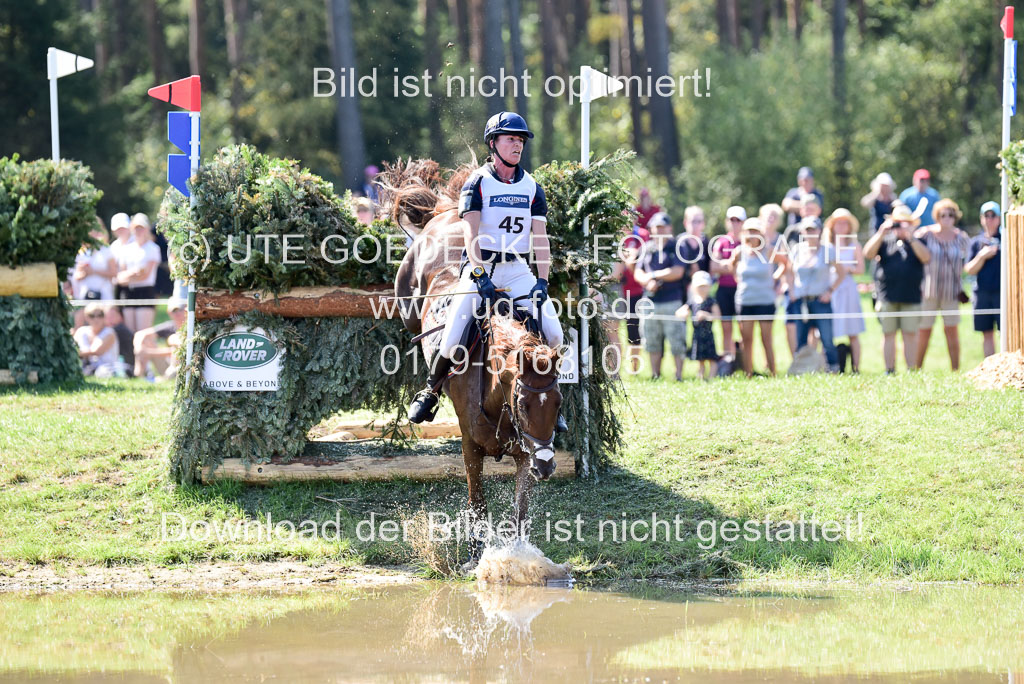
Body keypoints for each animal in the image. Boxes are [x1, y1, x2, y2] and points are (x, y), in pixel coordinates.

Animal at [382, 160, 561, 565]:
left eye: (557, 404)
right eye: (523, 404)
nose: (547, 467)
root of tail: (448, 212)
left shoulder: (524, 454)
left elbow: (520, 514)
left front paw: (517, 558)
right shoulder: (469, 447)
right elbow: (478, 506)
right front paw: (475, 558)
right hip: (410, 301)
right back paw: (424, 400)